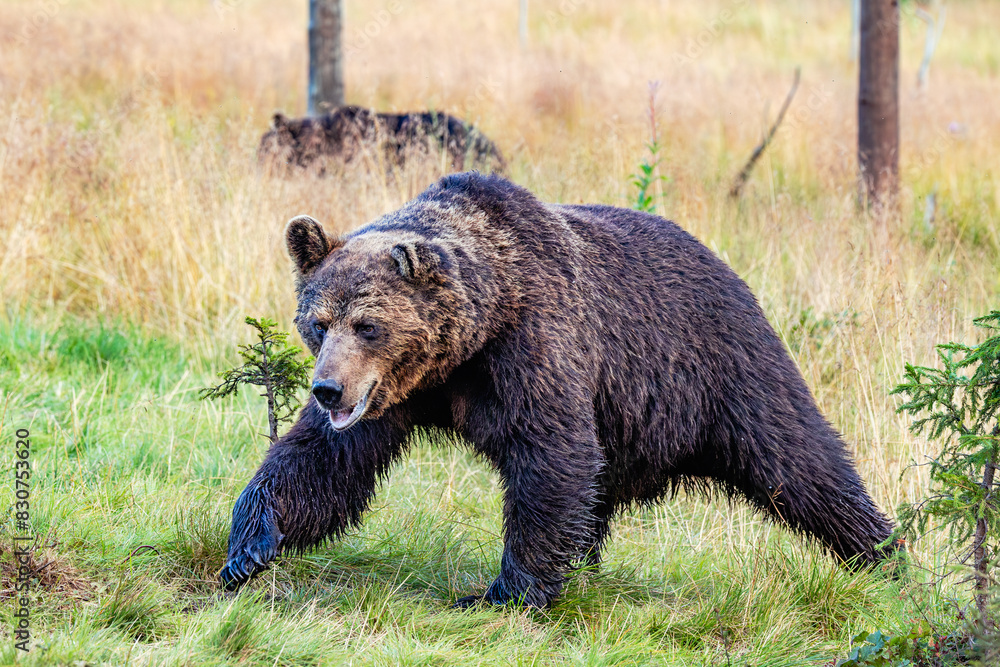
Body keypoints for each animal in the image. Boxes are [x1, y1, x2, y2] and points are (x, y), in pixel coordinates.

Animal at [219, 172, 897, 608]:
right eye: (317, 321)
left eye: (368, 324)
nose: (328, 390)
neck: (468, 342)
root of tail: (725, 263)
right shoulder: (396, 396)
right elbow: (324, 462)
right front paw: (248, 549)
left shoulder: (534, 346)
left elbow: (552, 455)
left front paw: (504, 592)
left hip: (721, 366)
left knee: (799, 462)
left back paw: (883, 553)